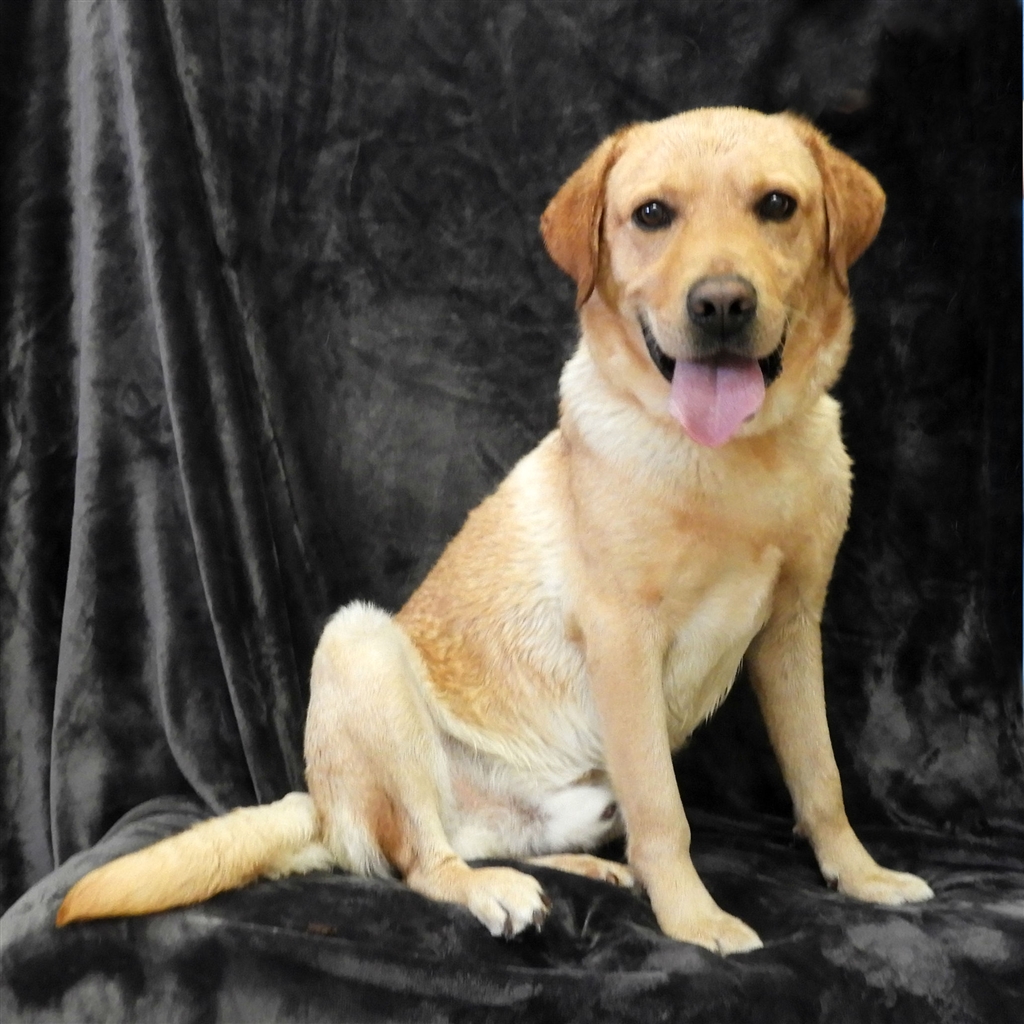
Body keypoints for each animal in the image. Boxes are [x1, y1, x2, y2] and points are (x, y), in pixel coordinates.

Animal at [57, 107, 934, 954]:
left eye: (777, 205)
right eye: (652, 214)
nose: (720, 304)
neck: (740, 460)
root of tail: (322, 807)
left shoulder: (791, 630)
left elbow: (820, 778)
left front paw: (860, 876)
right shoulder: (624, 641)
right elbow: (666, 810)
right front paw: (694, 919)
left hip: (572, 792)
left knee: (496, 842)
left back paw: (585, 870)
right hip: (359, 645)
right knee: (423, 859)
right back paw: (494, 893)